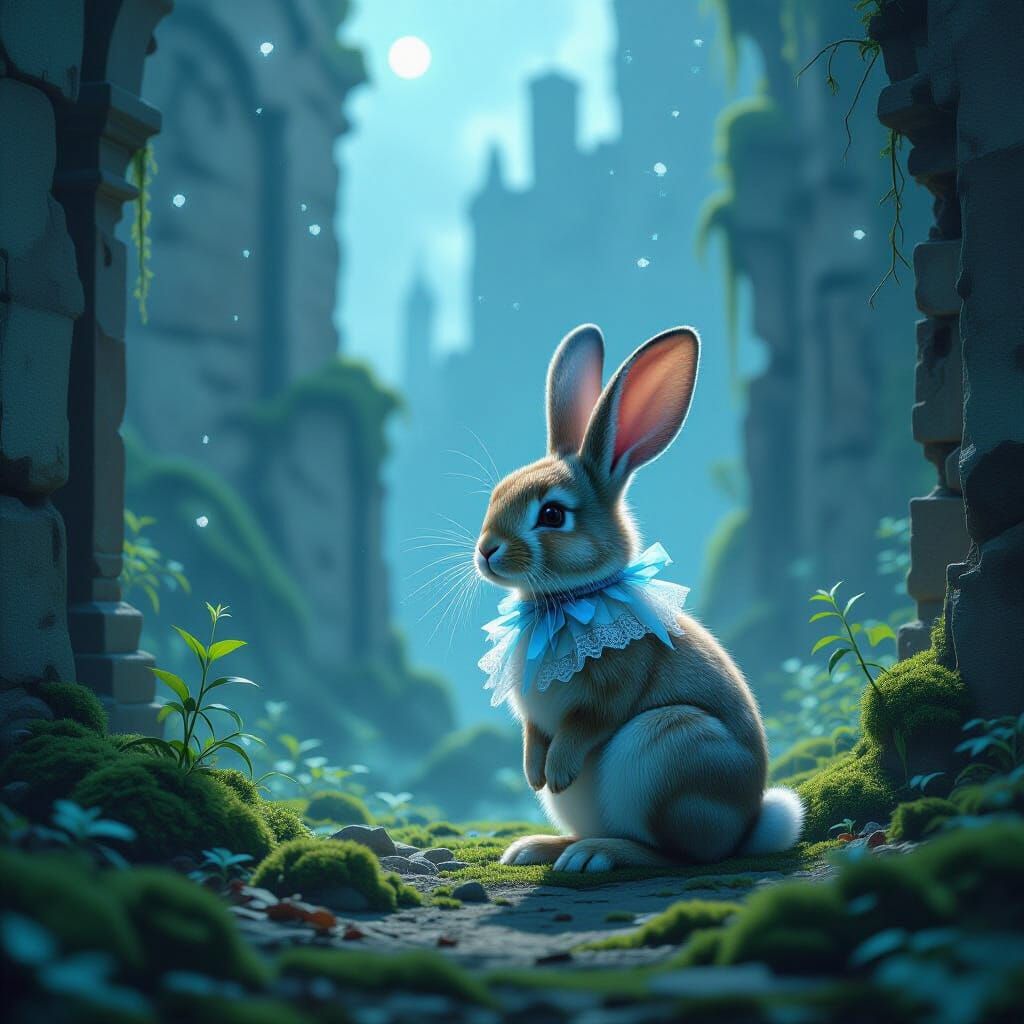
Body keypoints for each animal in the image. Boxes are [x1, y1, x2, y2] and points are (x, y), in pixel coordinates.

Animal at [473, 323, 804, 872]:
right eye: (497, 494)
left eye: (552, 515)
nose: (486, 552)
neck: (569, 598)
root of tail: (746, 827)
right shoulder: (532, 718)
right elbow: (533, 734)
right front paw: (534, 773)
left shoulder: (613, 685)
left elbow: (588, 722)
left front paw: (556, 770)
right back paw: (538, 848)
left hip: (667, 750)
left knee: (678, 854)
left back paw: (597, 855)